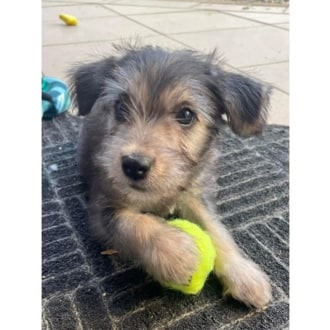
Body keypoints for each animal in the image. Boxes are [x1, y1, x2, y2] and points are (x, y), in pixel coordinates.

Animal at [68, 44, 272, 310]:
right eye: (121, 107)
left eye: (186, 114)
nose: (133, 165)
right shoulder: (103, 206)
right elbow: (133, 223)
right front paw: (178, 254)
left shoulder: (193, 195)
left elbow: (216, 229)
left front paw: (243, 274)